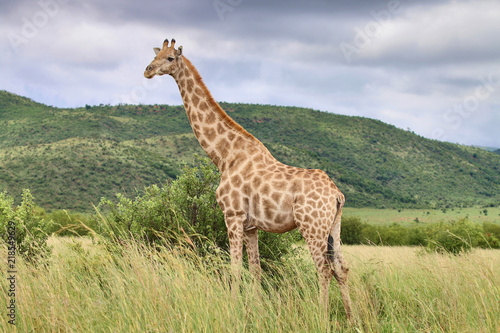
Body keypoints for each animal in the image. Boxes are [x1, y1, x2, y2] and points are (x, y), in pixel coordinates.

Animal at [145, 37, 354, 318]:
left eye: (169, 58)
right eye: (156, 54)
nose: (147, 70)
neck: (224, 156)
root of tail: (337, 194)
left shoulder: (232, 215)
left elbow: (234, 268)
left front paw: (233, 310)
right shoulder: (252, 225)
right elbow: (255, 269)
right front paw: (257, 310)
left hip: (312, 226)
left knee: (323, 269)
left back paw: (321, 316)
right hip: (334, 226)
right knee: (341, 268)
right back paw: (353, 317)